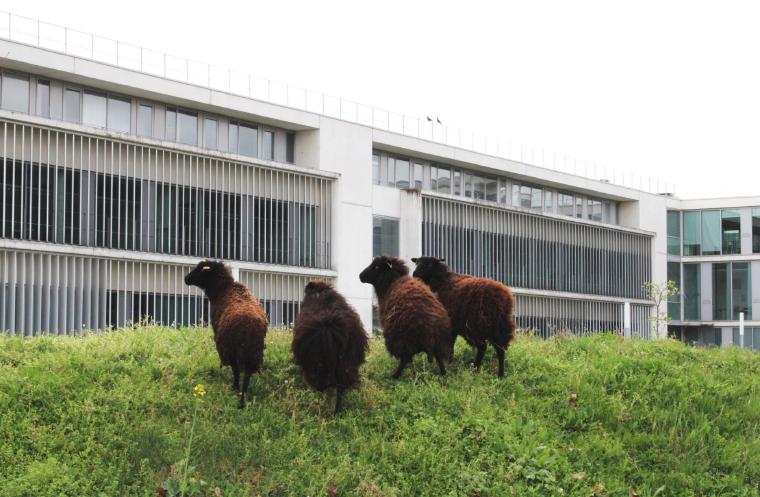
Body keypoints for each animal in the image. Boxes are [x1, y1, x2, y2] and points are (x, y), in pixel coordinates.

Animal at [184, 260, 268, 406]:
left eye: (199, 270)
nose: (186, 279)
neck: (223, 289)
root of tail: (250, 327)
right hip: (254, 353)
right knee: (247, 375)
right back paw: (242, 398)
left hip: (230, 348)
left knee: (236, 370)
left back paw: (235, 388)